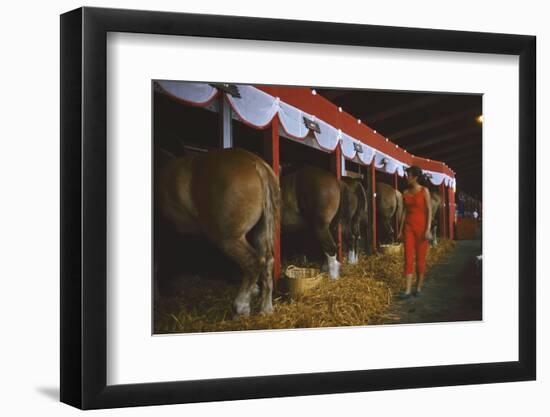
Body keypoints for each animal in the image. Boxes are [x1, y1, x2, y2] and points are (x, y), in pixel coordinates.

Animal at [157, 148, 282, 314]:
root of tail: (256, 163)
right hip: (260, 232)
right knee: (267, 261)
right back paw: (266, 309)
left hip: (228, 239)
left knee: (253, 263)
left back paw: (241, 306)